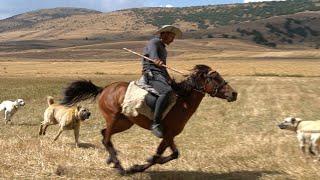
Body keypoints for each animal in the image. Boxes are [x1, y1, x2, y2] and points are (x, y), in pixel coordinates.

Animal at [60, 64, 238, 174]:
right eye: (215, 78)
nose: (234, 94)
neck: (182, 101)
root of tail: (104, 89)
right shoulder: (167, 134)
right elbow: (163, 155)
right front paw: (136, 167)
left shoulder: (169, 135)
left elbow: (170, 155)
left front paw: (140, 165)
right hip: (113, 118)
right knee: (106, 138)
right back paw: (119, 166)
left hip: (125, 122)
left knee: (104, 134)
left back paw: (112, 160)